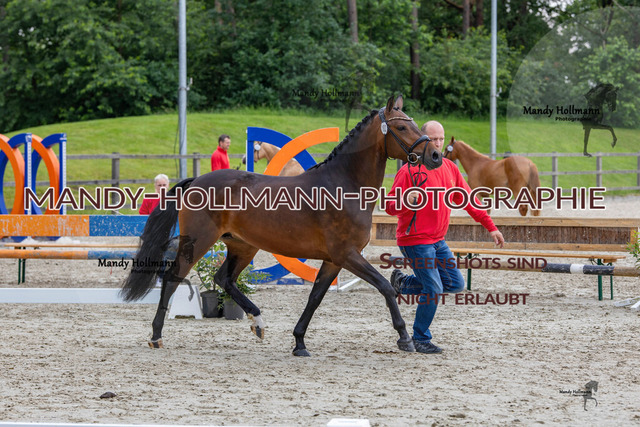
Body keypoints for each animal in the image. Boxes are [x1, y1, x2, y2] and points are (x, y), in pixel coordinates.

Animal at [120, 95, 443, 356]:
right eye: (402, 128)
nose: (436, 156)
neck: (344, 185)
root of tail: (196, 181)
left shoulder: (333, 260)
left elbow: (315, 298)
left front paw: (299, 343)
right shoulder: (348, 255)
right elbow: (385, 288)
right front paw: (405, 338)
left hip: (242, 246)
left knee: (224, 279)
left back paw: (258, 322)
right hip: (198, 242)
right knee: (173, 277)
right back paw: (156, 336)